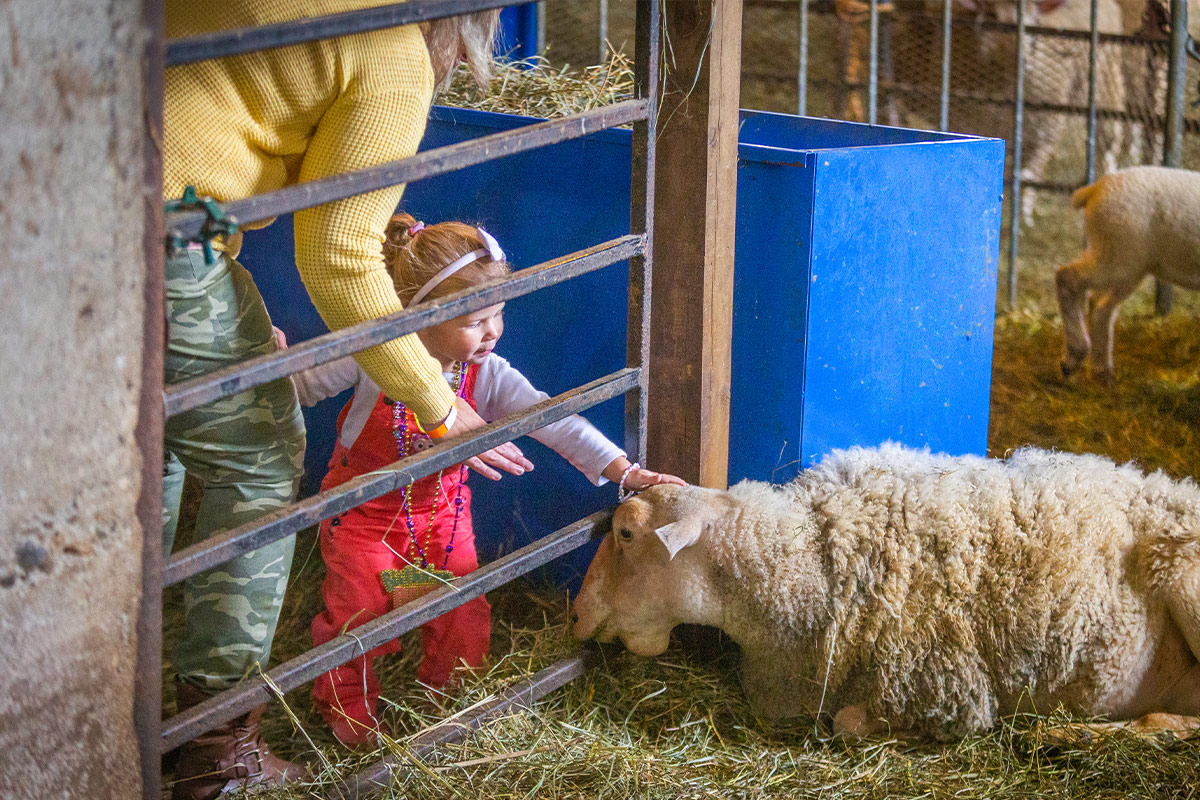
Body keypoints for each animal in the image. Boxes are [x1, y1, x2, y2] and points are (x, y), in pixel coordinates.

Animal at [571, 441, 1200, 743]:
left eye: (625, 533)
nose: (575, 616)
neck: (807, 558)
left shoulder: (944, 688)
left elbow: (848, 725)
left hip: (1184, 576)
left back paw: (1082, 734)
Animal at [1060, 164, 1200, 383]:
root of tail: (1094, 190)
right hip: (1118, 257)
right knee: (1067, 279)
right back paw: (1074, 358)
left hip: (1127, 264)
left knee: (1101, 307)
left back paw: (1101, 373)